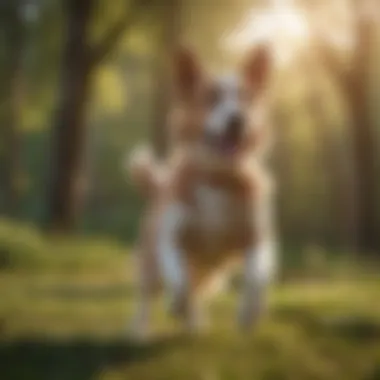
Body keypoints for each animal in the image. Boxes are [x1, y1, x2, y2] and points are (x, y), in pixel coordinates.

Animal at [127, 43, 276, 338]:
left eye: (245, 97)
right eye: (211, 97)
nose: (237, 119)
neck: (217, 177)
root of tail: (158, 188)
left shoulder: (257, 237)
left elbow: (256, 277)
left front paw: (248, 313)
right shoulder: (171, 237)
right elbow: (178, 277)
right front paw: (176, 303)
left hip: (213, 274)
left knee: (197, 290)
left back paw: (195, 325)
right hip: (150, 263)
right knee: (148, 296)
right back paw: (141, 331)